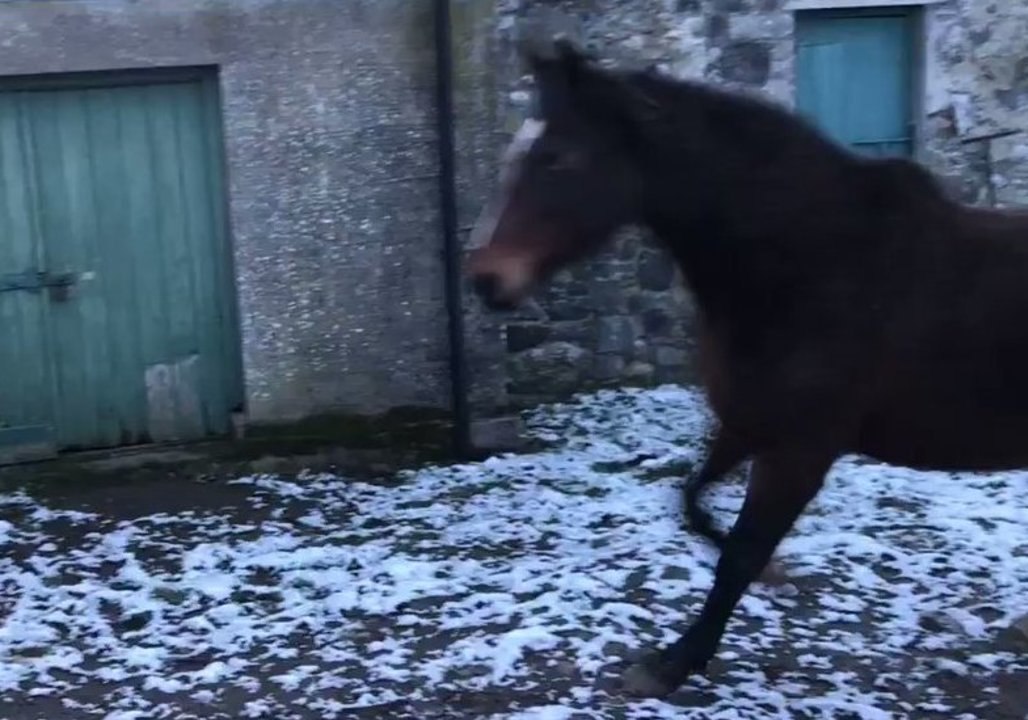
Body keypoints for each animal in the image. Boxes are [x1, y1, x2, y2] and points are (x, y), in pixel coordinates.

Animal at [465, 38, 1028, 699]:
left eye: (558, 158)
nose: (485, 279)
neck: (813, 267)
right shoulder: (745, 423)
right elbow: (692, 501)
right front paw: (773, 575)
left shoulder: (799, 449)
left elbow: (740, 551)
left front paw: (673, 663)